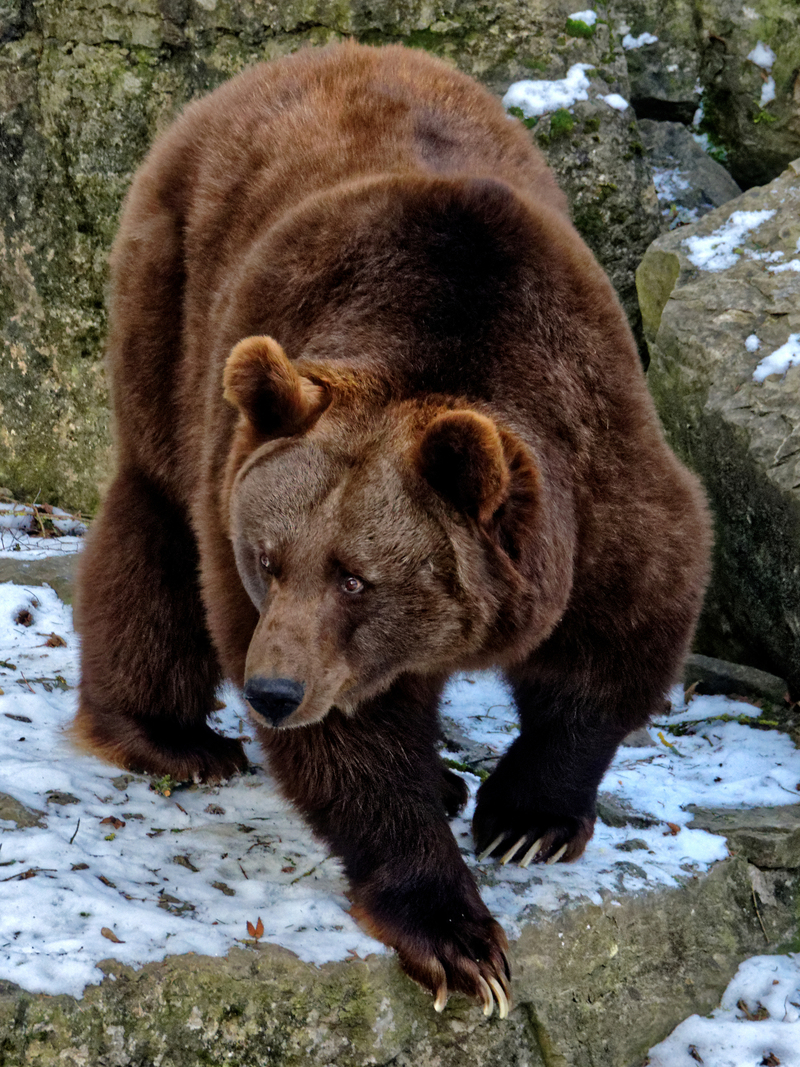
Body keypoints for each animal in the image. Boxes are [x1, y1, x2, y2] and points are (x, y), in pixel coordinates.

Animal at [75, 43, 712, 1015]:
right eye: (269, 559)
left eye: (356, 575)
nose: (272, 690)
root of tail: (312, 53)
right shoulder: (250, 506)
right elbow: (357, 747)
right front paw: (458, 937)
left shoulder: (596, 465)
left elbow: (621, 632)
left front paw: (526, 820)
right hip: (176, 290)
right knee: (156, 515)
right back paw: (172, 736)